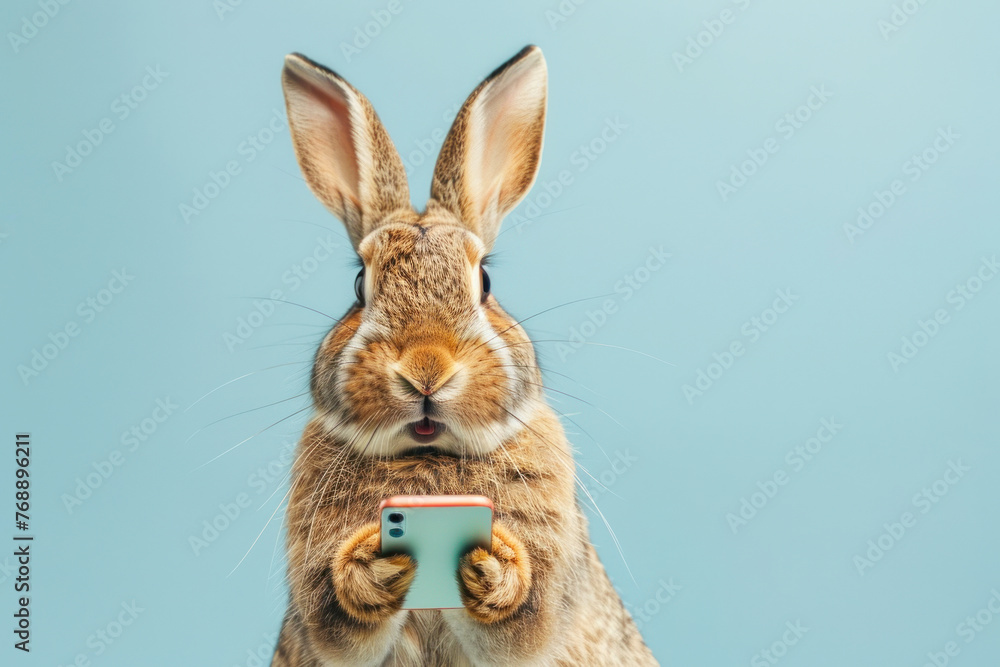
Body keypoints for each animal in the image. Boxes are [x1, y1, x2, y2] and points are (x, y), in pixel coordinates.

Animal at [272, 45, 657, 666]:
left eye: (485, 282)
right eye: (359, 285)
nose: (426, 370)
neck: (427, 458)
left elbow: (518, 624)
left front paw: (491, 562)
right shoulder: (326, 620)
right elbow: (344, 624)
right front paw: (371, 561)